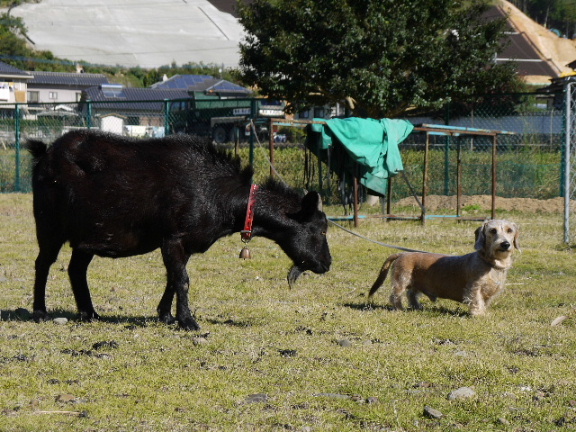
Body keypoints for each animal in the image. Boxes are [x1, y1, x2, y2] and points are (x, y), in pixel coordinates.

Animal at [368, 221, 520, 316]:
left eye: (509, 230)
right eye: (493, 231)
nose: (505, 244)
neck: (490, 263)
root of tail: (402, 254)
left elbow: (485, 301)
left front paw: (483, 312)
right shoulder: (474, 287)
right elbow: (476, 300)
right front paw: (478, 314)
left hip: (415, 283)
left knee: (411, 294)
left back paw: (417, 306)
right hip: (401, 280)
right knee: (396, 296)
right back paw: (400, 308)